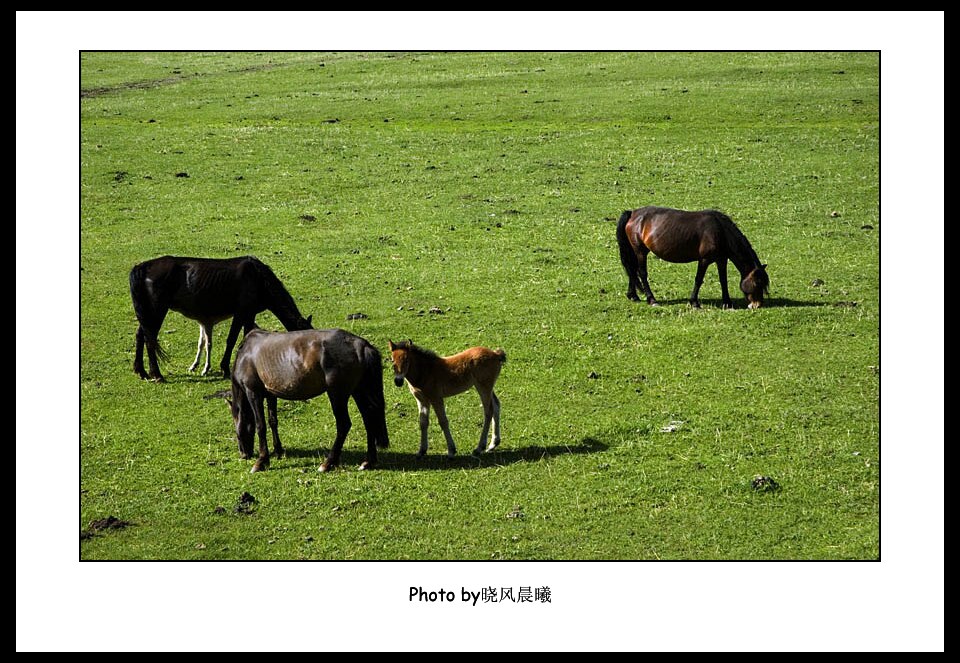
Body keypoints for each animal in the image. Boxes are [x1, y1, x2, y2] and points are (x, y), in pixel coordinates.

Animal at [129, 255, 312, 382]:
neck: (257, 277)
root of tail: (143, 267)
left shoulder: (249, 314)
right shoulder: (242, 313)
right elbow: (232, 339)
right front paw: (225, 368)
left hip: (147, 313)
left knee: (140, 336)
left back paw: (142, 371)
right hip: (156, 311)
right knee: (149, 339)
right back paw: (157, 374)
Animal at [227, 326, 388, 472]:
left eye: (236, 432)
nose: (244, 454)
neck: (246, 354)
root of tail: (361, 345)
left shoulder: (253, 393)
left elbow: (261, 425)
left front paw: (261, 461)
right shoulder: (271, 394)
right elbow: (273, 421)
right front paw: (278, 451)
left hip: (337, 394)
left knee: (344, 424)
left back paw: (328, 463)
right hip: (359, 391)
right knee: (369, 419)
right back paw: (368, 461)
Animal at [620, 208, 768, 308]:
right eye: (757, 283)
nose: (757, 305)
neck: (720, 231)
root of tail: (633, 213)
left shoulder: (721, 260)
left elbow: (723, 280)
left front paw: (727, 302)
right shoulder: (704, 260)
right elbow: (698, 279)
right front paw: (694, 302)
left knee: (632, 270)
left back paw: (633, 296)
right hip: (641, 252)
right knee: (642, 273)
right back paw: (652, 299)